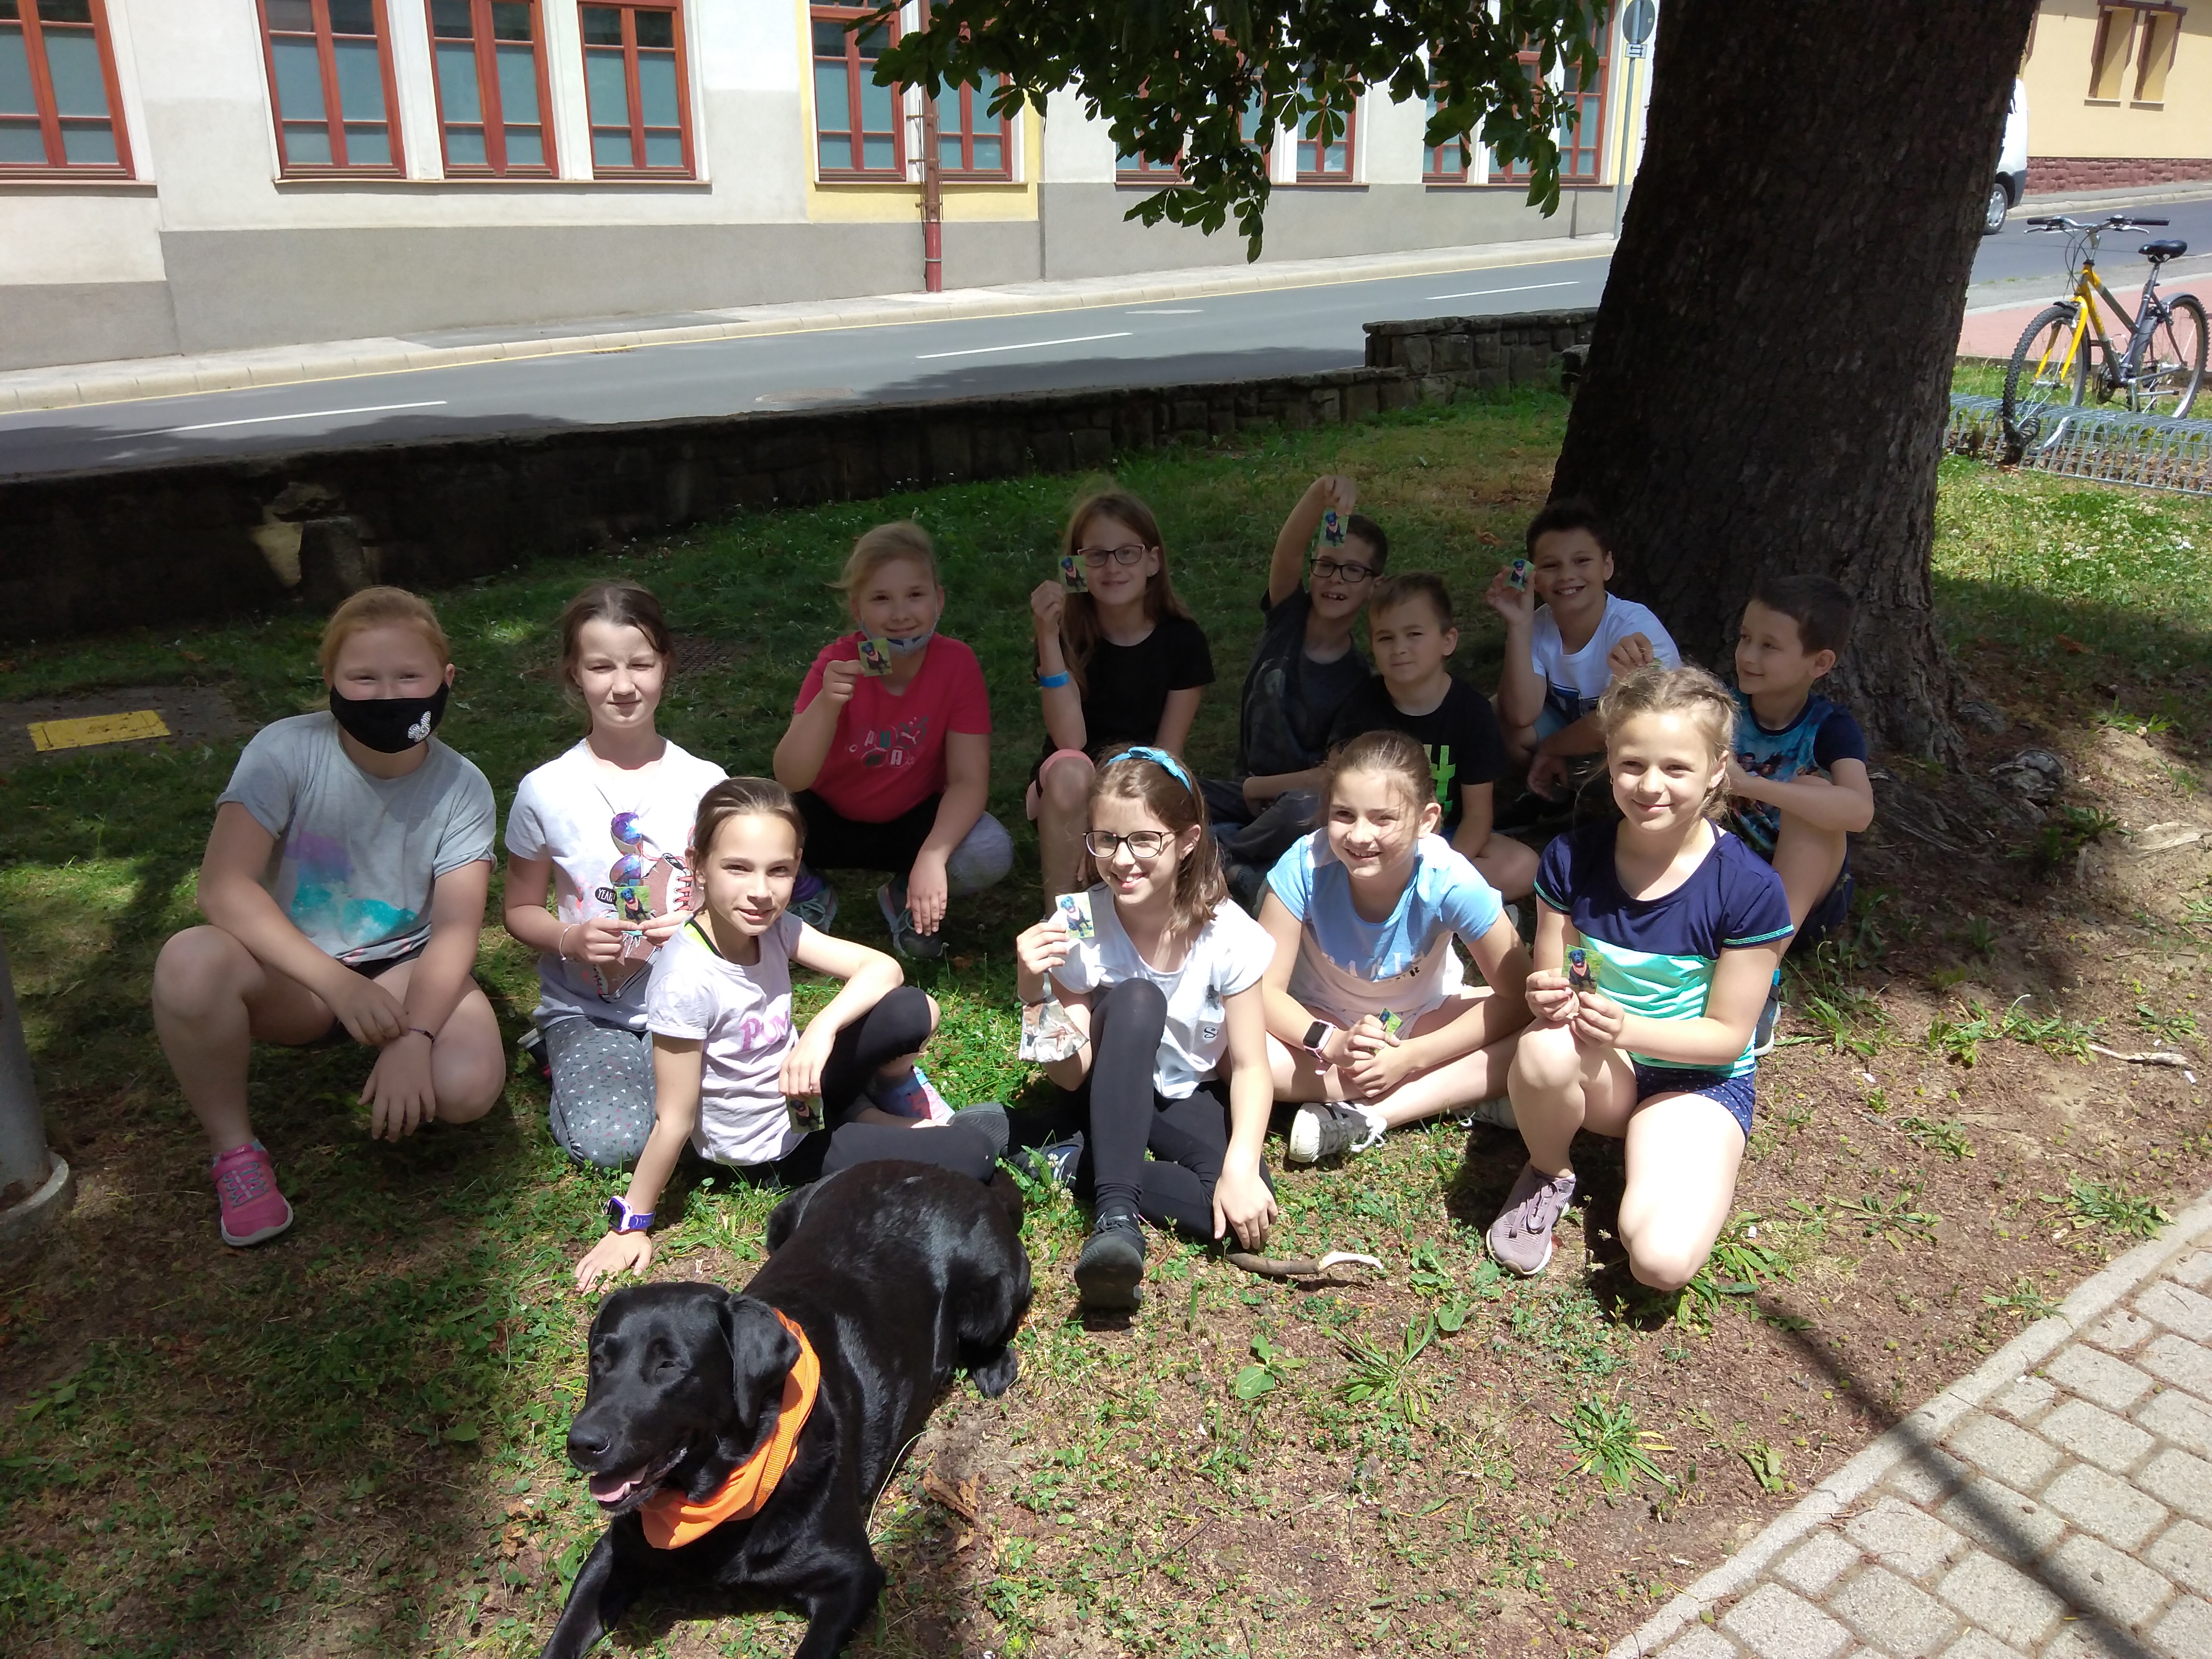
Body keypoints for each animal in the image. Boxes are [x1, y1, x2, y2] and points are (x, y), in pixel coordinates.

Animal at [540, 1161, 1032, 1659]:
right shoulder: (612, 1555)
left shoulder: (852, 1577)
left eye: (668, 1365)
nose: (581, 1444)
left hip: (989, 1296)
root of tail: (950, 1174)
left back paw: (994, 1365)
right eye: (598, 1360)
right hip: (780, 1220)